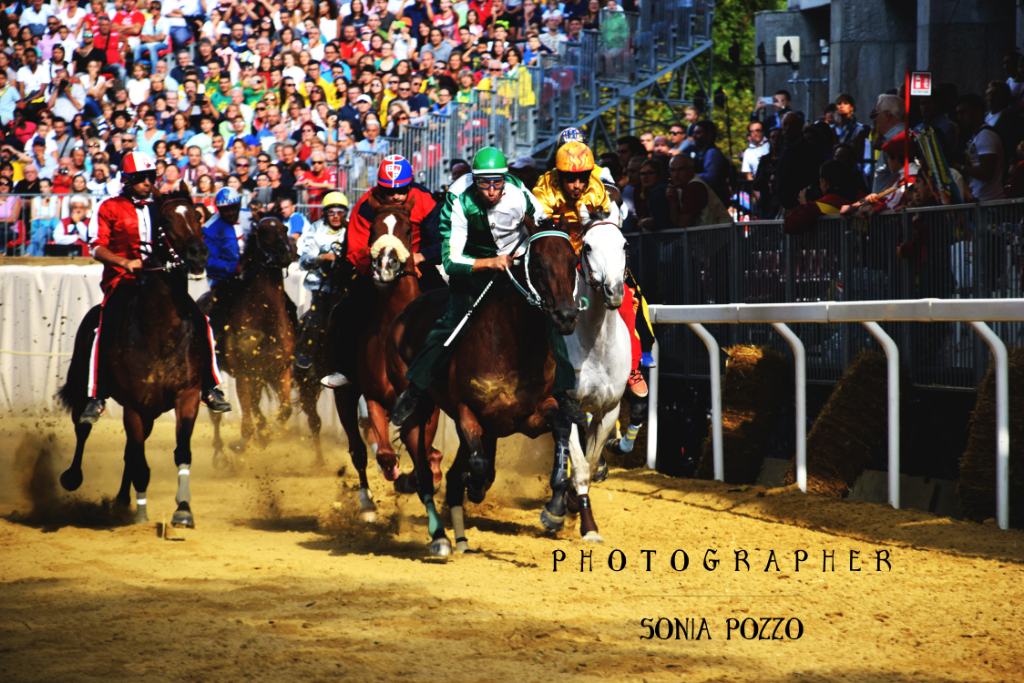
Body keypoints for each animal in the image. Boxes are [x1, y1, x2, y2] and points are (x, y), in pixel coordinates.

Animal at [197, 219, 299, 464]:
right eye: (263, 232)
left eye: (285, 229)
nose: (285, 252)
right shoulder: (244, 373)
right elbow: (246, 419)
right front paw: (242, 443)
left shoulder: (280, 370)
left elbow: (284, 410)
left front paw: (268, 433)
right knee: (216, 415)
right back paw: (219, 454)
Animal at [387, 216, 581, 557]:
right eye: (538, 263)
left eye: (573, 262)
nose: (566, 316)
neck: (513, 344)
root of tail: (404, 315)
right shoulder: (468, 413)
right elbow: (478, 466)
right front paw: (476, 487)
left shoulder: (533, 414)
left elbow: (560, 426)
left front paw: (555, 510)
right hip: (419, 412)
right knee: (425, 474)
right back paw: (440, 538)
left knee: (451, 478)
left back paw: (462, 541)